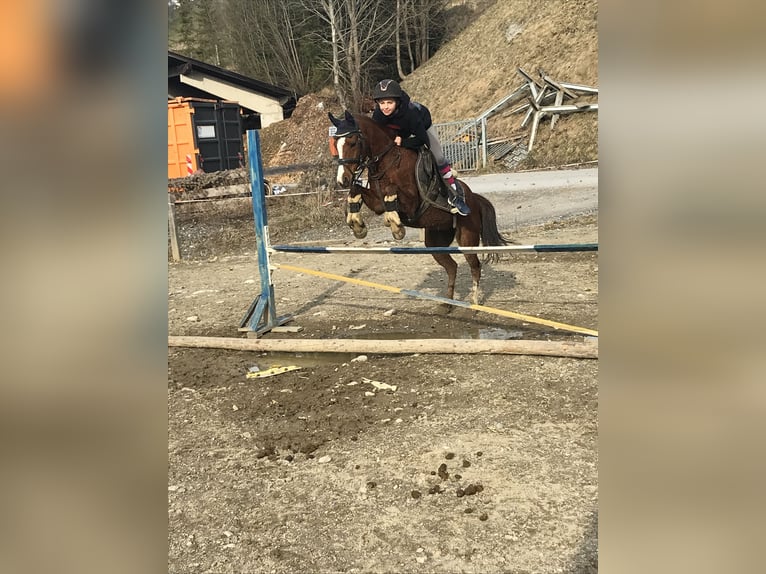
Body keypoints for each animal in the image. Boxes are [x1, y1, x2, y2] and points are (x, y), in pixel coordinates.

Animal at [328, 109, 512, 306]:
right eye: (335, 144)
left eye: (353, 142)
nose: (342, 180)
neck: (388, 161)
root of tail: (474, 199)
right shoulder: (377, 202)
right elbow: (358, 191)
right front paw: (357, 224)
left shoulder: (411, 205)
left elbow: (391, 192)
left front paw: (396, 227)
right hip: (435, 239)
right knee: (452, 266)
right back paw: (447, 304)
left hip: (467, 237)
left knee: (474, 265)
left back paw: (474, 302)